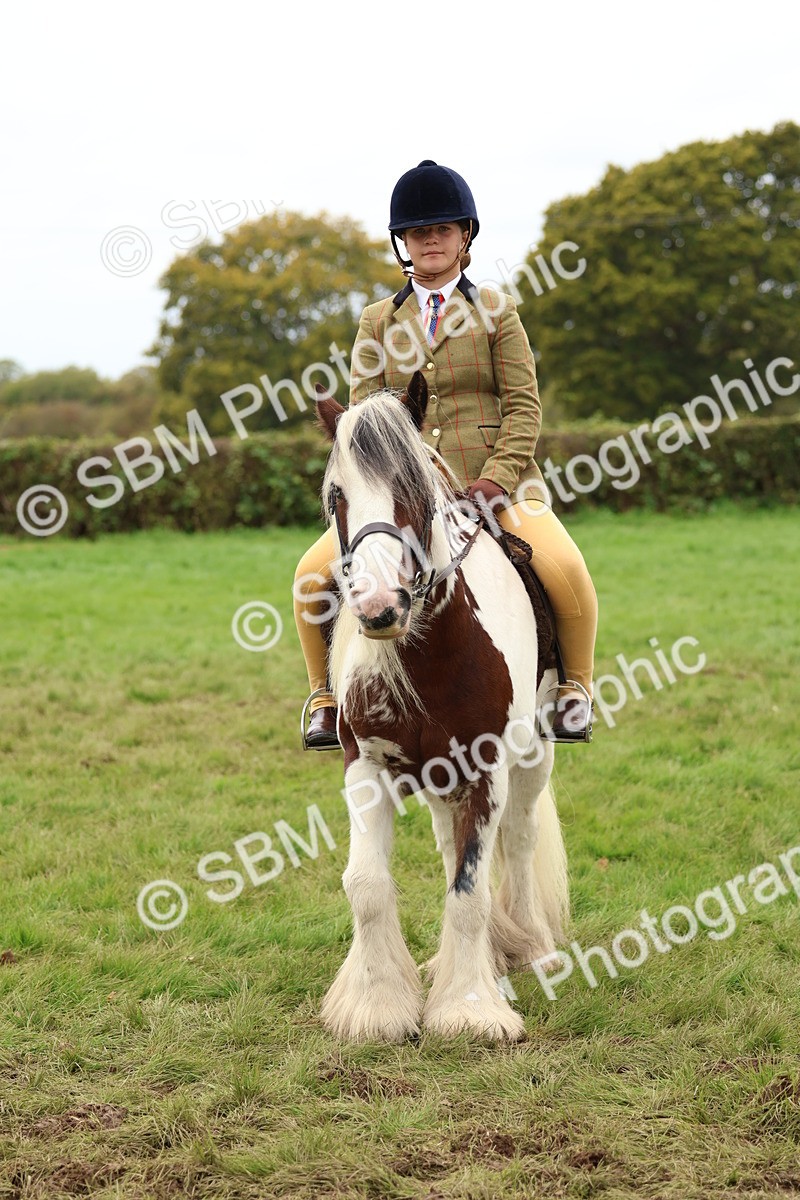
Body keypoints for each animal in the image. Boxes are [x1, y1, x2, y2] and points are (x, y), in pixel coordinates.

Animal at [314, 371, 568, 1042]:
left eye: (412, 486)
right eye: (335, 496)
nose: (379, 607)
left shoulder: (486, 767)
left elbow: (470, 891)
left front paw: (470, 1011)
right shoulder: (366, 764)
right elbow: (367, 885)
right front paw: (376, 1004)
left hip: (532, 756)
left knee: (520, 839)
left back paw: (532, 948)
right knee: (451, 842)